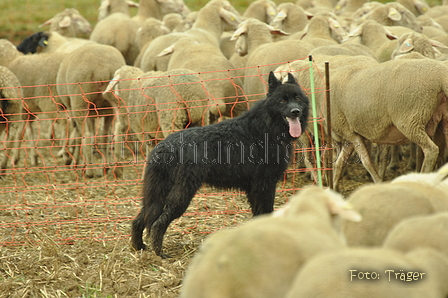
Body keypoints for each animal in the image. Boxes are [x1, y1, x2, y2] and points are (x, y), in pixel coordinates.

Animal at [56, 43, 127, 178]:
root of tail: (101, 69)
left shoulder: (73, 108)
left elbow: (78, 134)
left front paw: (74, 162)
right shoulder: (98, 113)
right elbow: (100, 134)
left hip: (80, 102)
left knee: (86, 135)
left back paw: (89, 171)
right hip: (114, 102)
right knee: (114, 131)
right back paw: (115, 168)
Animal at [131, 71, 310, 258]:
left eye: (297, 98)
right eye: (282, 101)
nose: (296, 111)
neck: (265, 127)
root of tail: (164, 146)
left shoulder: (255, 189)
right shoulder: (264, 186)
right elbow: (265, 212)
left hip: (156, 196)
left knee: (139, 220)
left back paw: (139, 247)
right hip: (181, 195)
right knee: (157, 224)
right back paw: (160, 254)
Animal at [328, 58, 448, 190]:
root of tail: (441, 75)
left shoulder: (348, 132)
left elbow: (365, 161)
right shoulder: (351, 135)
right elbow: (340, 162)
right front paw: (333, 187)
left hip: (411, 120)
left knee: (431, 150)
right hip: (442, 119)